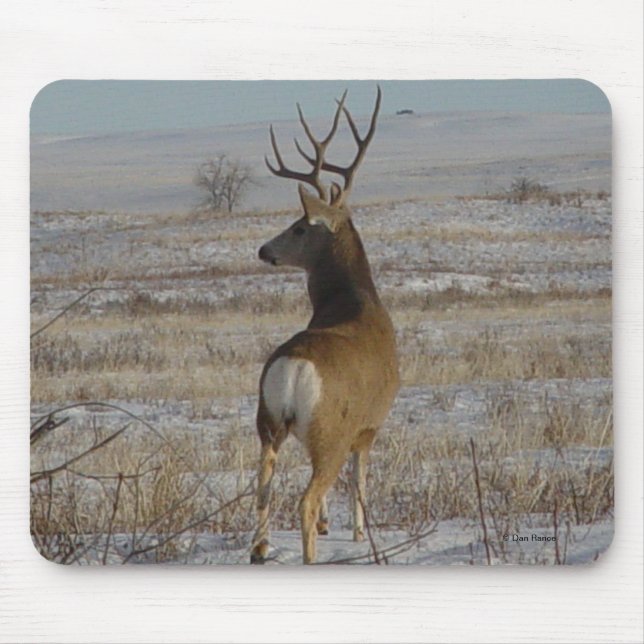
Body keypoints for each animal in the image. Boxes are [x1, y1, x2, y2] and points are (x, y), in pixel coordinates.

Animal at [250, 87, 399, 564]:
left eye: (298, 228)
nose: (264, 250)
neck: (353, 302)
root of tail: (293, 368)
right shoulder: (370, 424)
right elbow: (360, 478)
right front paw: (356, 531)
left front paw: (331, 524)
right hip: (329, 430)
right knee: (307, 497)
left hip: (267, 421)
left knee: (263, 486)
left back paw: (260, 549)